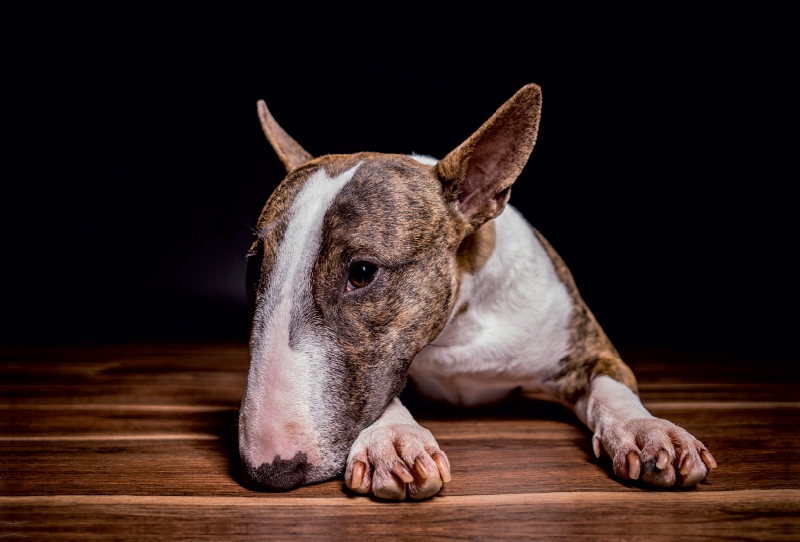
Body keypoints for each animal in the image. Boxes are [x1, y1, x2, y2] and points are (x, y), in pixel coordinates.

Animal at [239, 85, 720, 502]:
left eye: (361, 272)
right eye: (254, 265)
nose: (270, 470)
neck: (458, 331)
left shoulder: (589, 350)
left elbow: (614, 388)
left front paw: (648, 430)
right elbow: (386, 391)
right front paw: (394, 440)